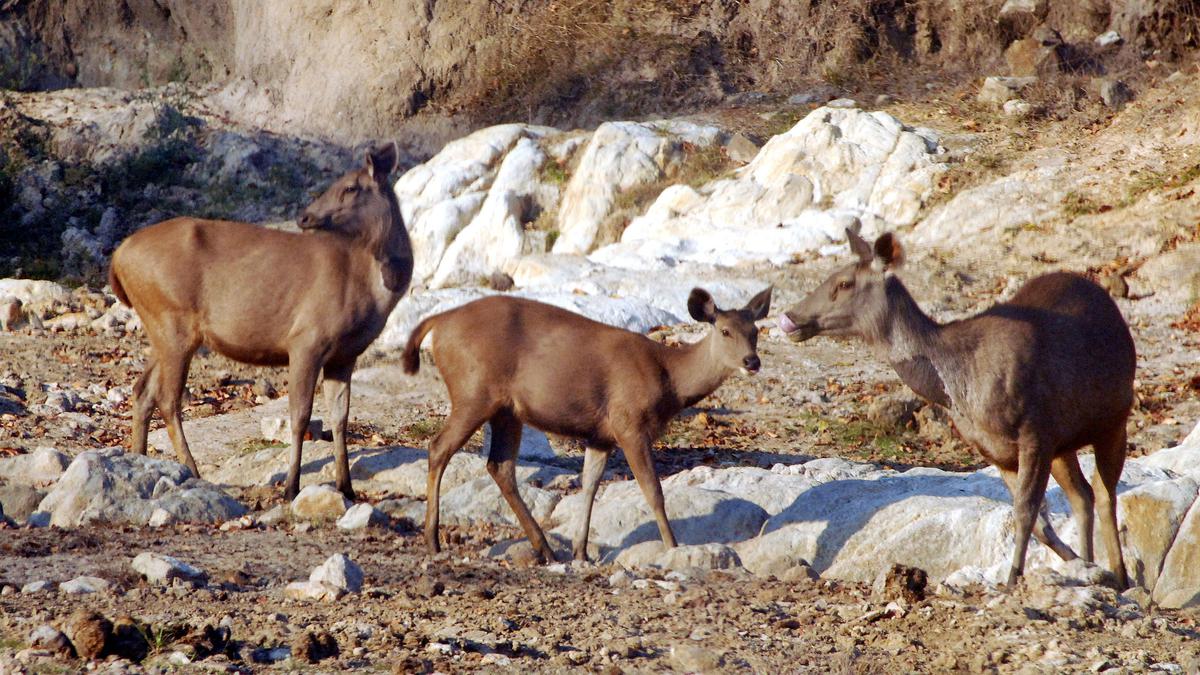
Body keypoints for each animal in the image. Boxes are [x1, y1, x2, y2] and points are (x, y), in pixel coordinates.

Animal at [112, 141, 412, 499]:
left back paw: (141, 459)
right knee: (168, 399)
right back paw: (192, 471)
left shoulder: (345, 355)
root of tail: (117, 256)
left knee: (143, 390)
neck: (371, 287)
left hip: (162, 328)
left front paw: (347, 488)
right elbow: (300, 415)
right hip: (173, 320)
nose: (304, 216)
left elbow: (340, 418)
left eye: (350, 186)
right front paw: (291, 488)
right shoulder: (307, 339)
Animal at [403, 285, 772, 559]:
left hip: (506, 410)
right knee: (439, 447)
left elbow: (590, 485)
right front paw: (673, 546)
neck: (669, 379)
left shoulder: (600, 435)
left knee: (499, 466)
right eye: (725, 331)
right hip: (473, 393)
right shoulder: (628, 422)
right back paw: (433, 541)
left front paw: (581, 551)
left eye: (755, 331)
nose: (752, 361)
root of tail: (439, 321)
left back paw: (545, 548)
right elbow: (653, 490)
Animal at [777, 228, 1132, 586]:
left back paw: (1122, 576)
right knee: (1082, 495)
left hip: (1115, 418)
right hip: (1065, 444)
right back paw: (1094, 563)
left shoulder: (1036, 432)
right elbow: (1040, 523)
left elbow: (1026, 510)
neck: (960, 387)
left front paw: (1013, 580)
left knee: (1104, 493)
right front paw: (1077, 564)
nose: (790, 318)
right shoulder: (996, 450)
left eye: (844, 283)